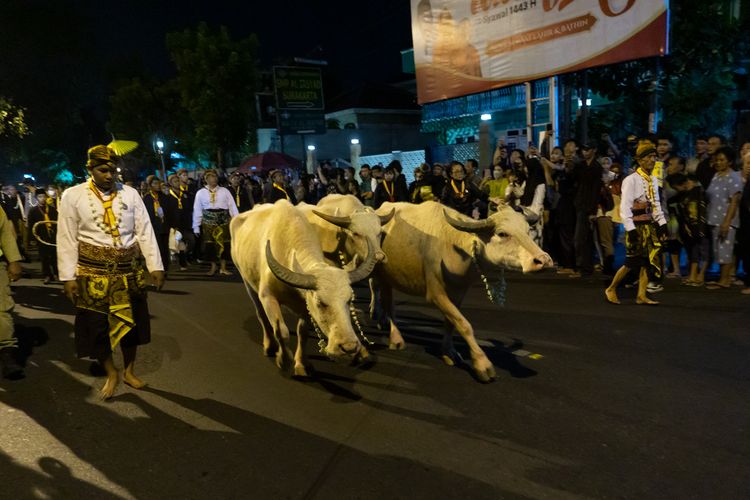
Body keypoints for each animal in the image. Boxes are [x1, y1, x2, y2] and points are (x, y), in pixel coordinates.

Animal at [231, 199, 376, 376]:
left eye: (349, 300)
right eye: (320, 303)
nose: (349, 347)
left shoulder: (305, 305)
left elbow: (303, 332)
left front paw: (301, 363)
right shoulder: (267, 296)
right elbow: (281, 330)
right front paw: (284, 359)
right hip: (246, 281)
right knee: (261, 315)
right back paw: (269, 345)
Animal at [374, 201, 556, 380]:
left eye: (527, 231)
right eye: (502, 234)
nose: (544, 260)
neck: (455, 247)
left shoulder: (458, 293)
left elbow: (451, 322)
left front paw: (449, 352)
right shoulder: (435, 294)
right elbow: (464, 324)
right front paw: (482, 364)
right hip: (382, 276)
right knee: (386, 301)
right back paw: (395, 338)